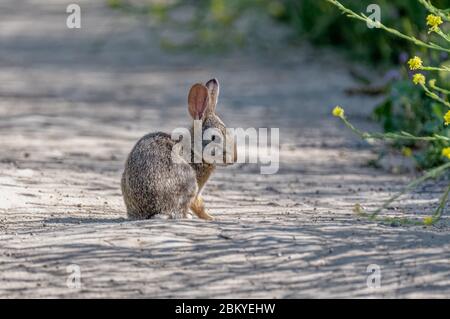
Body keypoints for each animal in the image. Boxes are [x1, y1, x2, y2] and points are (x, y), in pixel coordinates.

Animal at [121, 79, 237, 221]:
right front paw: (210, 218)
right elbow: (198, 205)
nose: (234, 158)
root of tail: (151, 212)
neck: (194, 149)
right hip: (189, 181)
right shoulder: (196, 191)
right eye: (213, 137)